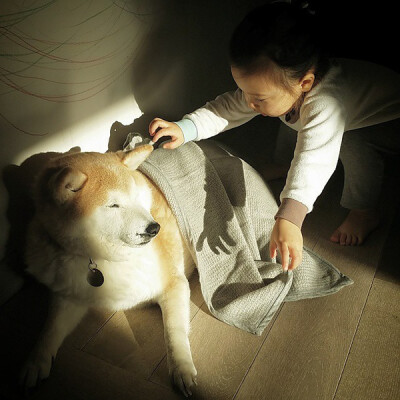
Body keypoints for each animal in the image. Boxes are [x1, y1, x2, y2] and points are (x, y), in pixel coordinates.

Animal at [19, 145, 198, 396]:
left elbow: (174, 332)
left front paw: (181, 367)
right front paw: (35, 361)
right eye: (113, 205)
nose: (155, 229)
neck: (108, 257)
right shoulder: (71, 294)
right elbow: (50, 329)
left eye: (138, 198)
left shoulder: (174, 282)